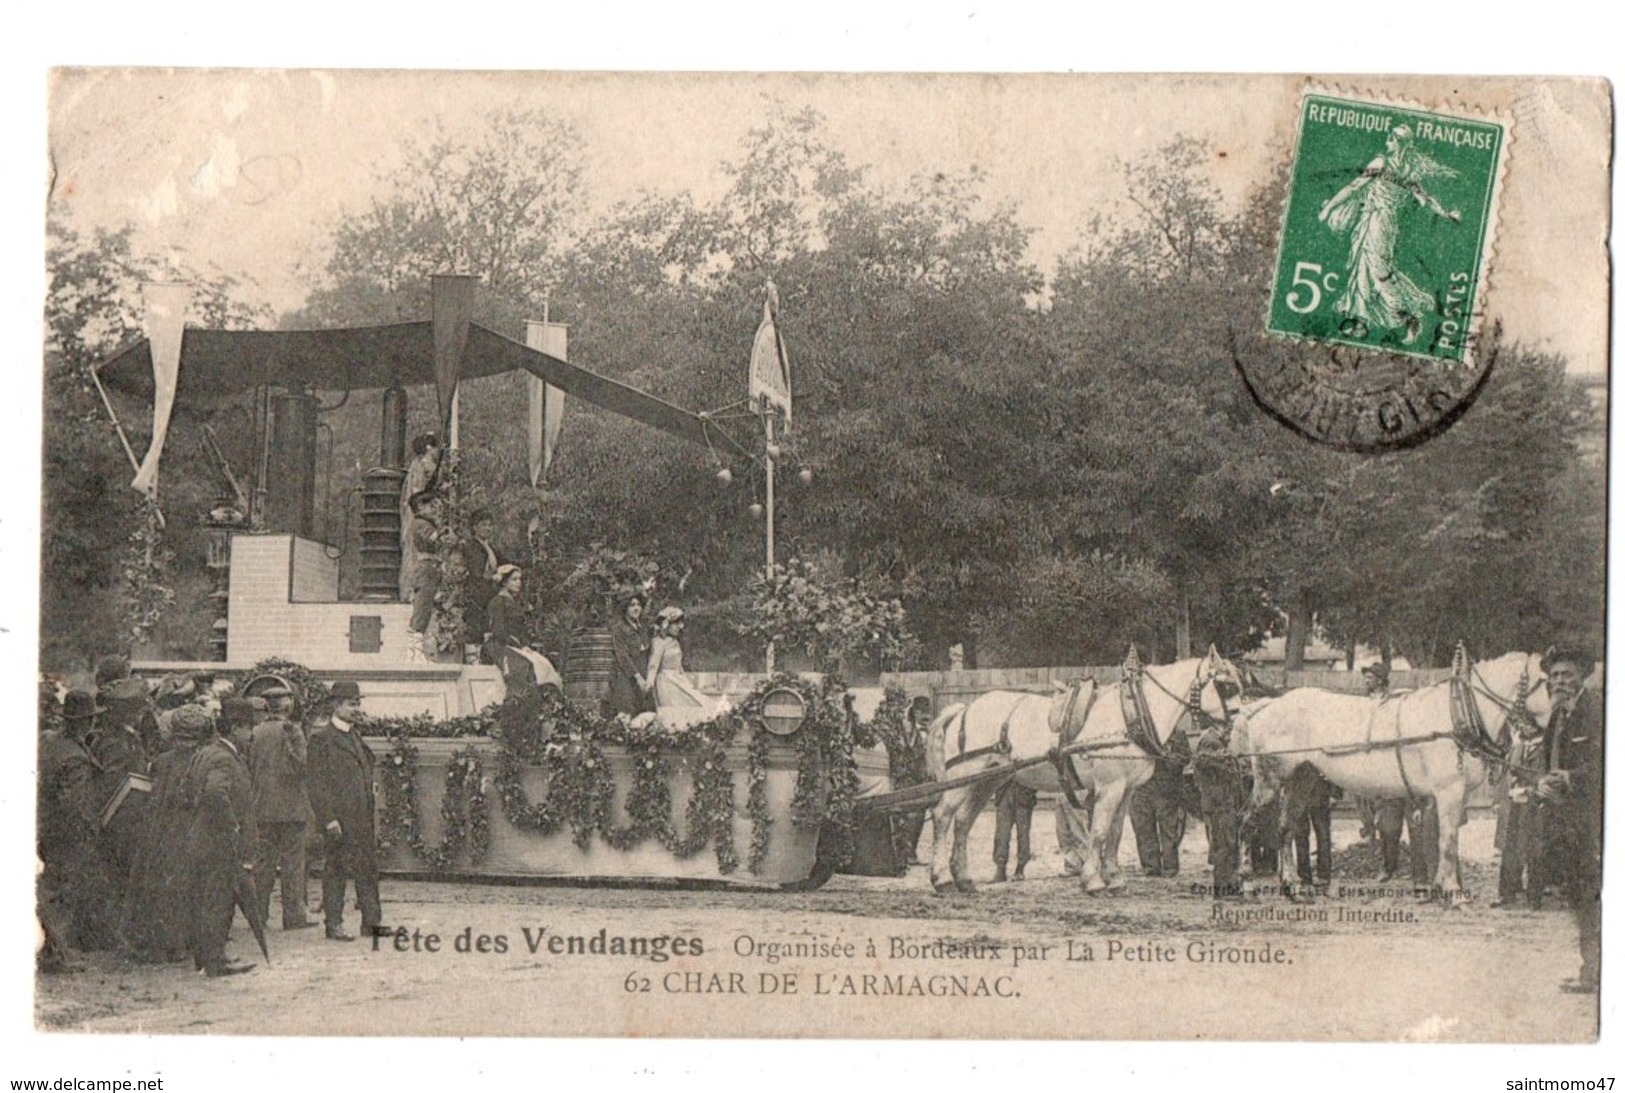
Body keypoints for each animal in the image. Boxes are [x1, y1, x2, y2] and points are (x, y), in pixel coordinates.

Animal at [929, 643, 1241, 889]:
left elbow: (1115, 833)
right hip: (965, 777)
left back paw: (964, 879)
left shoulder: (1126, 790)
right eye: (1225, 686)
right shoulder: (1110, 787)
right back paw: (941, 879)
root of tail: (963, 709)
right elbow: (1100, 831)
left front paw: (1114, 878)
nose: (1236, 724)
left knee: (963, 821)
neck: (1131, 714)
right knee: (943, 815)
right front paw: (1093, 880)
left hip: (986, 780)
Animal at [1228, 649, 1547, 896]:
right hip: (1269, 780)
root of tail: (1265, 705)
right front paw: (1453, 892)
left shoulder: (1445, 795)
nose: (1550, 723)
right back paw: (1246, 882)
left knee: (1285, 827)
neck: (1456, 712)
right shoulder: (1449, 790)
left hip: (1301, 778)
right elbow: (1448, 841)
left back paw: (1291, 884)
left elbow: (1440, 838)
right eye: (1545, 680)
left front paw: (1438, 886)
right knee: (1247, 821)